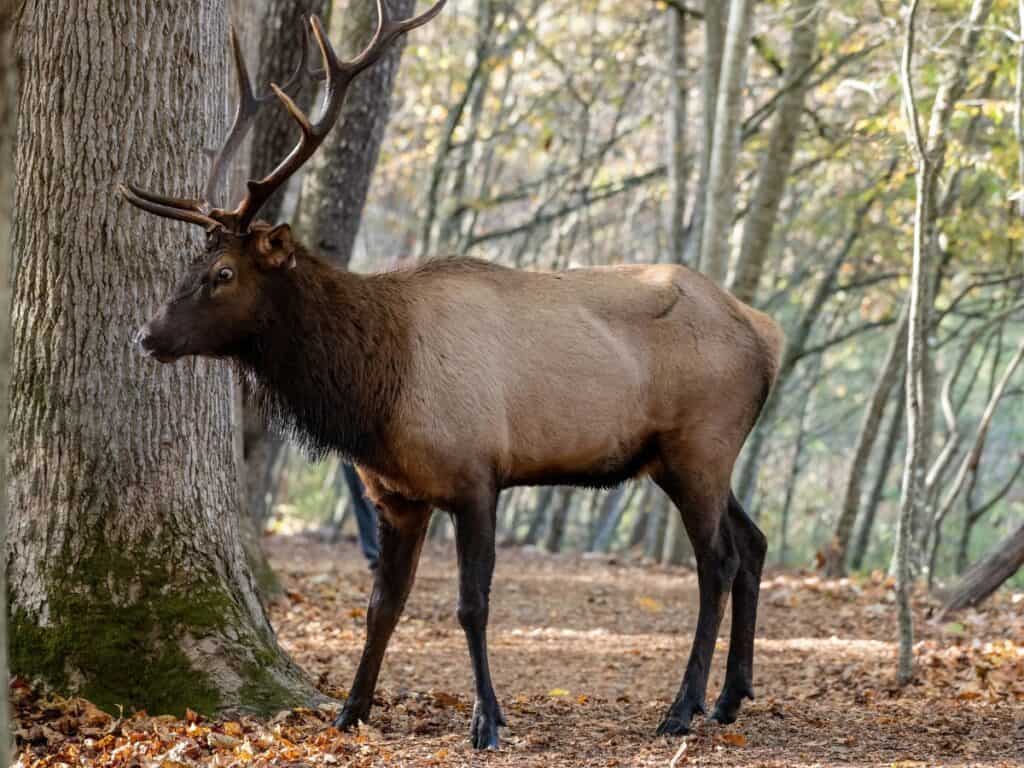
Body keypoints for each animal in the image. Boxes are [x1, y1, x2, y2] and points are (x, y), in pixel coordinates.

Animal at [120, 0, 784, 750]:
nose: (147, 335)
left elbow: (472, 604)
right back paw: (730, 697)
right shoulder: (397, 495)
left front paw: (488, 719)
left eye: (224, 273)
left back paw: (683, 706)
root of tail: (767, 334)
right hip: (689, 456)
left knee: (717, 562)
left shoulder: (475, 473)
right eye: (189, 265)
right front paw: (351, 710)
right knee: (753, 544)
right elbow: (382, 604)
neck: (374, 393)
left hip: (698, 444)